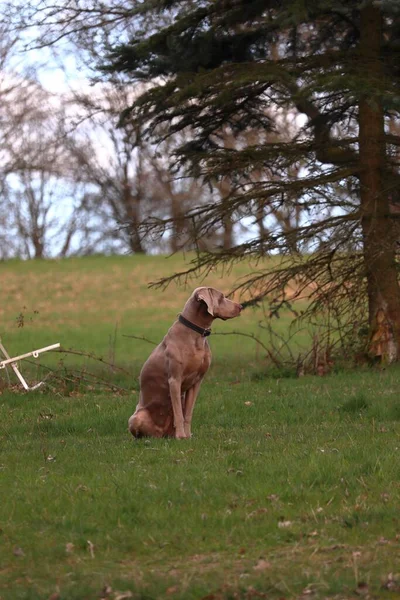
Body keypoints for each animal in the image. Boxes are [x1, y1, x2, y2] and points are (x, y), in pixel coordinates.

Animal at [129, 288, 241, 438]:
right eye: (222, 297)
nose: (241, 306)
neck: (195, 334)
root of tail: (160, 434)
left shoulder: (196, 382)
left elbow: (187, 413)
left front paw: (188, 436)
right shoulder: (175, 380)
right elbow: (179, 414)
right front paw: (182, 436)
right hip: (136, 417)